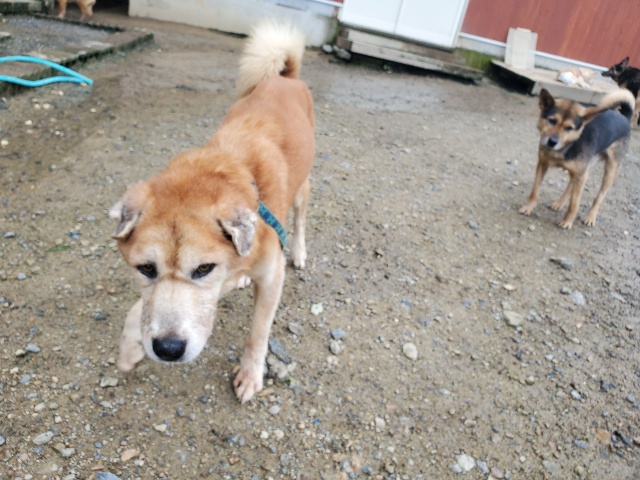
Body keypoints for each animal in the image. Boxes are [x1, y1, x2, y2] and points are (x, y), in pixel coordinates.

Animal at [110, 22, 315, 404]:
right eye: (146, 268)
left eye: (203, 268)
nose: (168, 349)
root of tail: (286, 77)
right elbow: (141, 308)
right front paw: (131, 347)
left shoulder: (270, 278)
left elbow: (257, 334)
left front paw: (250, 376)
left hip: (302, 190)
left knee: (300, 218)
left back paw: (299, 251)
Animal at [519, 87, 634, 229]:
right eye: (552, 120)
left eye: (569, 128)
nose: (552, 142)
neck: (568, 144)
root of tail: (624, 117)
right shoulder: (542, 164)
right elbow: (535, 191)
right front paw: (528, 207)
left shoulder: (581, 175)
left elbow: (574, 204)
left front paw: (568, 221)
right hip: (583, 170)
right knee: (571, 186)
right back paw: (559, 203)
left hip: (609, 171)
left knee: (599, 197)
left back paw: (590, 217)